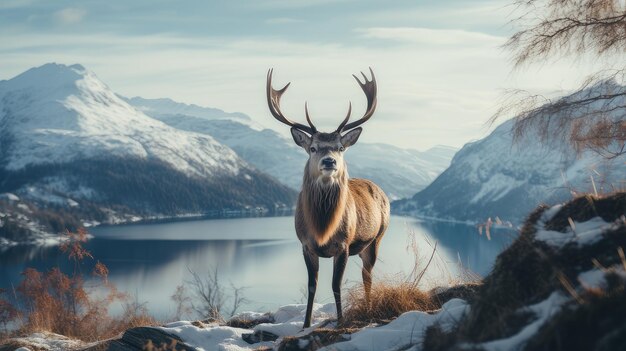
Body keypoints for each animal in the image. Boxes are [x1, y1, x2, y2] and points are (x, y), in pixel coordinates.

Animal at [266, 68, 388, 328]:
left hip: (376, 239)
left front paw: (340, 321)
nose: (329, 161)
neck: (323, 226)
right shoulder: (305, 245)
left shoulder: (343, 245)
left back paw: (369, 307)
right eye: (312, 148)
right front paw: (305, 324)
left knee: (367, 275)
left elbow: (335, 285)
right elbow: (312, 286)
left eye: (340, 147)